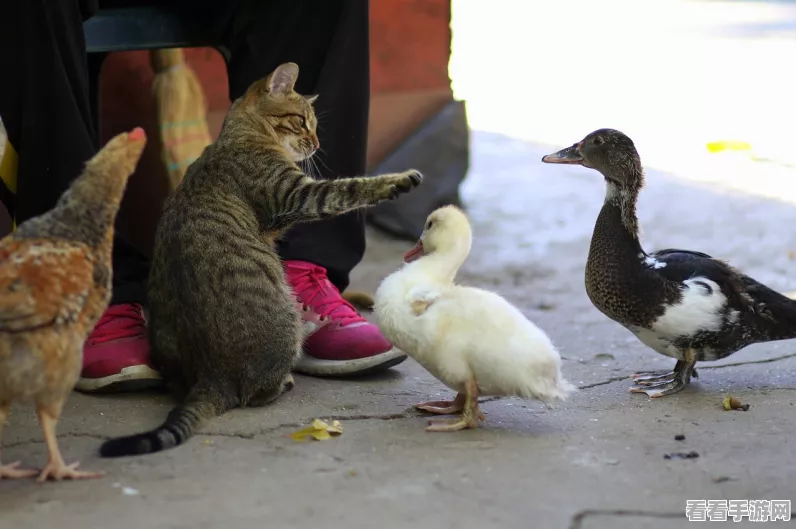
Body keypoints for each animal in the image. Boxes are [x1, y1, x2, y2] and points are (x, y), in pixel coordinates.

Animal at [101, 62, 422, 456]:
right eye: (302, 121)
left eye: (314, 124)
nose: (317, 144)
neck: (241, 134)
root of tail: (210, 377)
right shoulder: (296, 195)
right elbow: (349, 188)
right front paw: (399, 180)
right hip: (286, 322)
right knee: (255, 393)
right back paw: (286, 378)